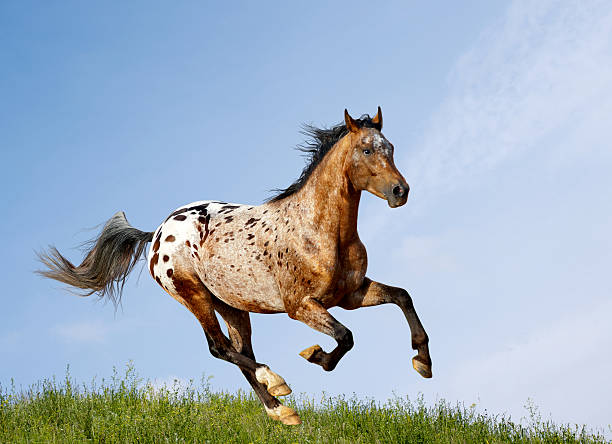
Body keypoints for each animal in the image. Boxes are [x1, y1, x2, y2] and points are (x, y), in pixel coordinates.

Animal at [37, 106, 430, 424]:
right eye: (367, 149)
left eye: (390, 148)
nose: (401, 191)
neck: (318, 230)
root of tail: (157, 233)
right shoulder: (301, 307)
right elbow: (345, 337)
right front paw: (315, 355)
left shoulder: (351, 294)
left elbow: (402, 296)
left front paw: (423, 361)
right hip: (193, 295)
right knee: (220, 348)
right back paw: (277, 384)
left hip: (233, 305)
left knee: (240, 351)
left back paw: (282, 412)